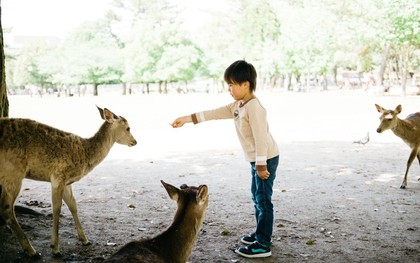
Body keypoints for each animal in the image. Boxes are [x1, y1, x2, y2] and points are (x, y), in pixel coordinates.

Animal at [0, 106, 136, 258]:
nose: (135, 141)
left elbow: (73, 205)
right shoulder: (58, 176)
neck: (84, 154)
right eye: (128, 128)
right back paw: (32, 251)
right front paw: (56, 249)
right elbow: (57, 208)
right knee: (6, 208)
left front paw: (85, 240)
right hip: (13, 171)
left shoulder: (66, 183)